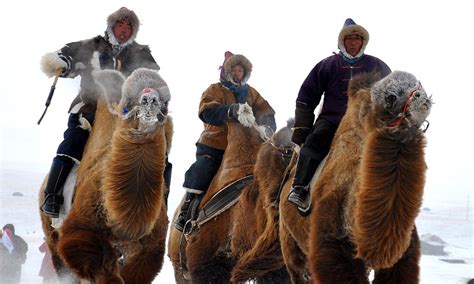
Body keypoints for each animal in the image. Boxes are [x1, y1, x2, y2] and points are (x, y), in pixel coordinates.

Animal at [39, 67, 172, 282]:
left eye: (166, 103)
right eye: (127, 104)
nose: (149, 99)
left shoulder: (151, 245)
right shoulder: (77, 229)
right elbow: (101, 261)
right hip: (51, 233)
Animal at [278, 70, 434, 282]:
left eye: (418, 85)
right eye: (391, 96)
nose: (421, 97)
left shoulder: (404, 252)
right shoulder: (330, 240)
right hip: (289, 240)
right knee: (297, 269)